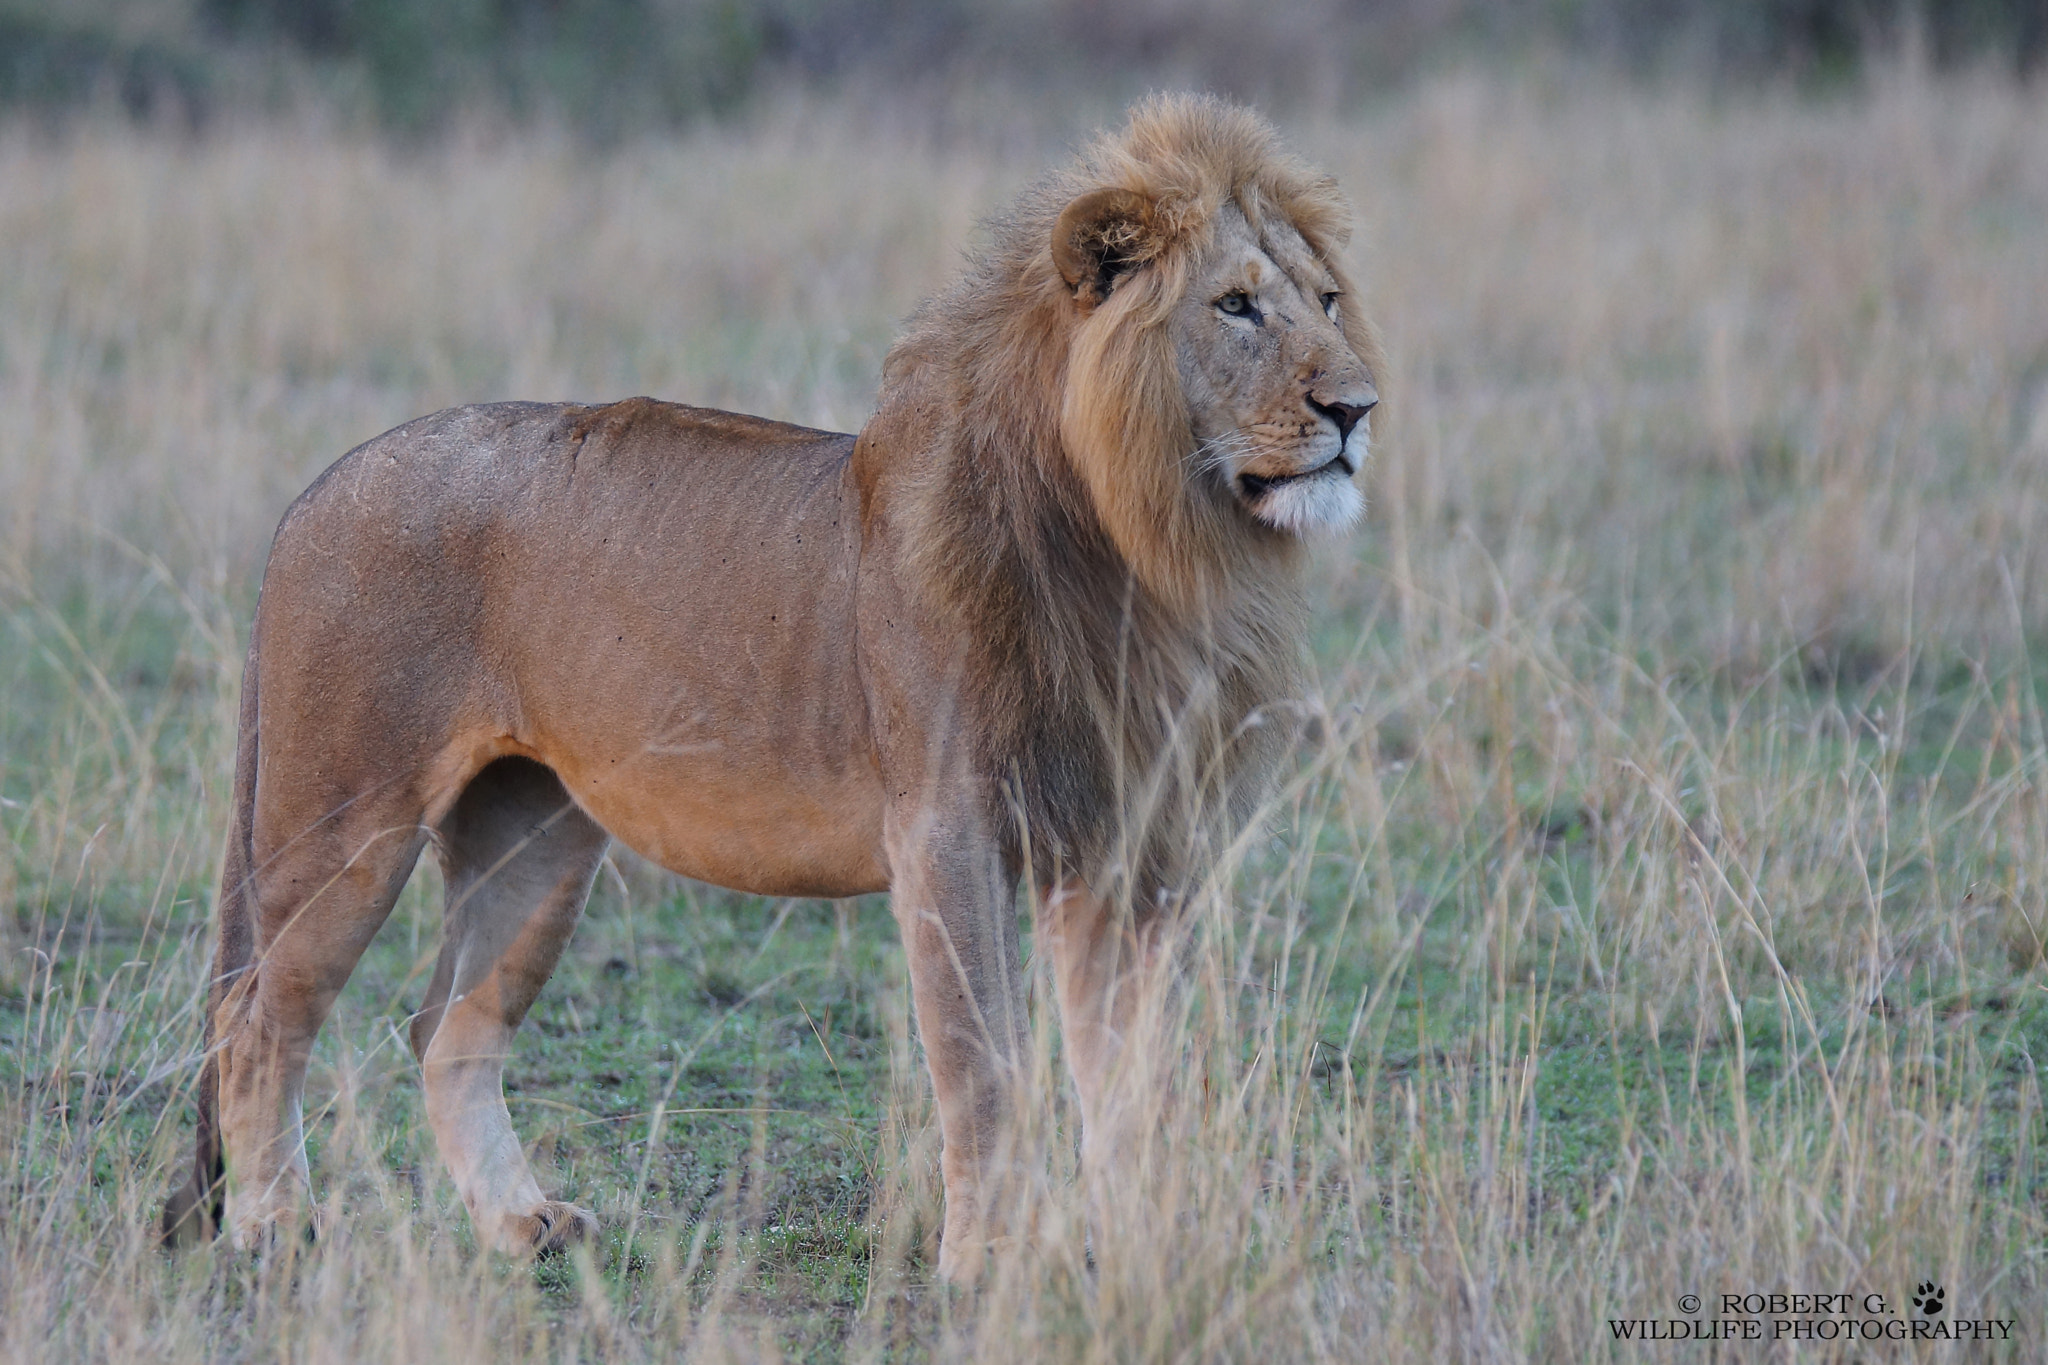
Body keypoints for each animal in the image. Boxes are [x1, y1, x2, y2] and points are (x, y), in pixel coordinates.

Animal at [159, 93, 1376, 1285]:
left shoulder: (1123, 848)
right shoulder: (946, 826)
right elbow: (981, 1059)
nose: (1358, 409)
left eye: (1325, 300)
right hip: (344, 814)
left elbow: (1130, 1076)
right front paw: (991, 1259)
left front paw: (1143, 1246)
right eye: (1234, 306)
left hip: (534, 837)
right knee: (257, 1012)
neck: (1146, 546)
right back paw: (273, 1228)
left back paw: (523, 1223)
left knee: (444, 1026)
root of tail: (315, 488)